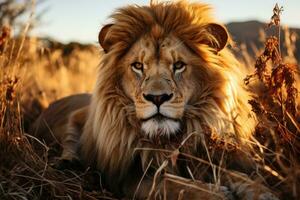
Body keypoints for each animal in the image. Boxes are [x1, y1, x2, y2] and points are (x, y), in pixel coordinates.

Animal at [31, 1, 278, 200]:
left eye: (178, 65)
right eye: (138, 66)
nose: (157, 97)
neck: (169, 140)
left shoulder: (202, 156)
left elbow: (235, 174)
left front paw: (261, 191)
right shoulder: (127, 179)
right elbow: (170, 183)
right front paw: (215, 193)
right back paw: (67, 162)